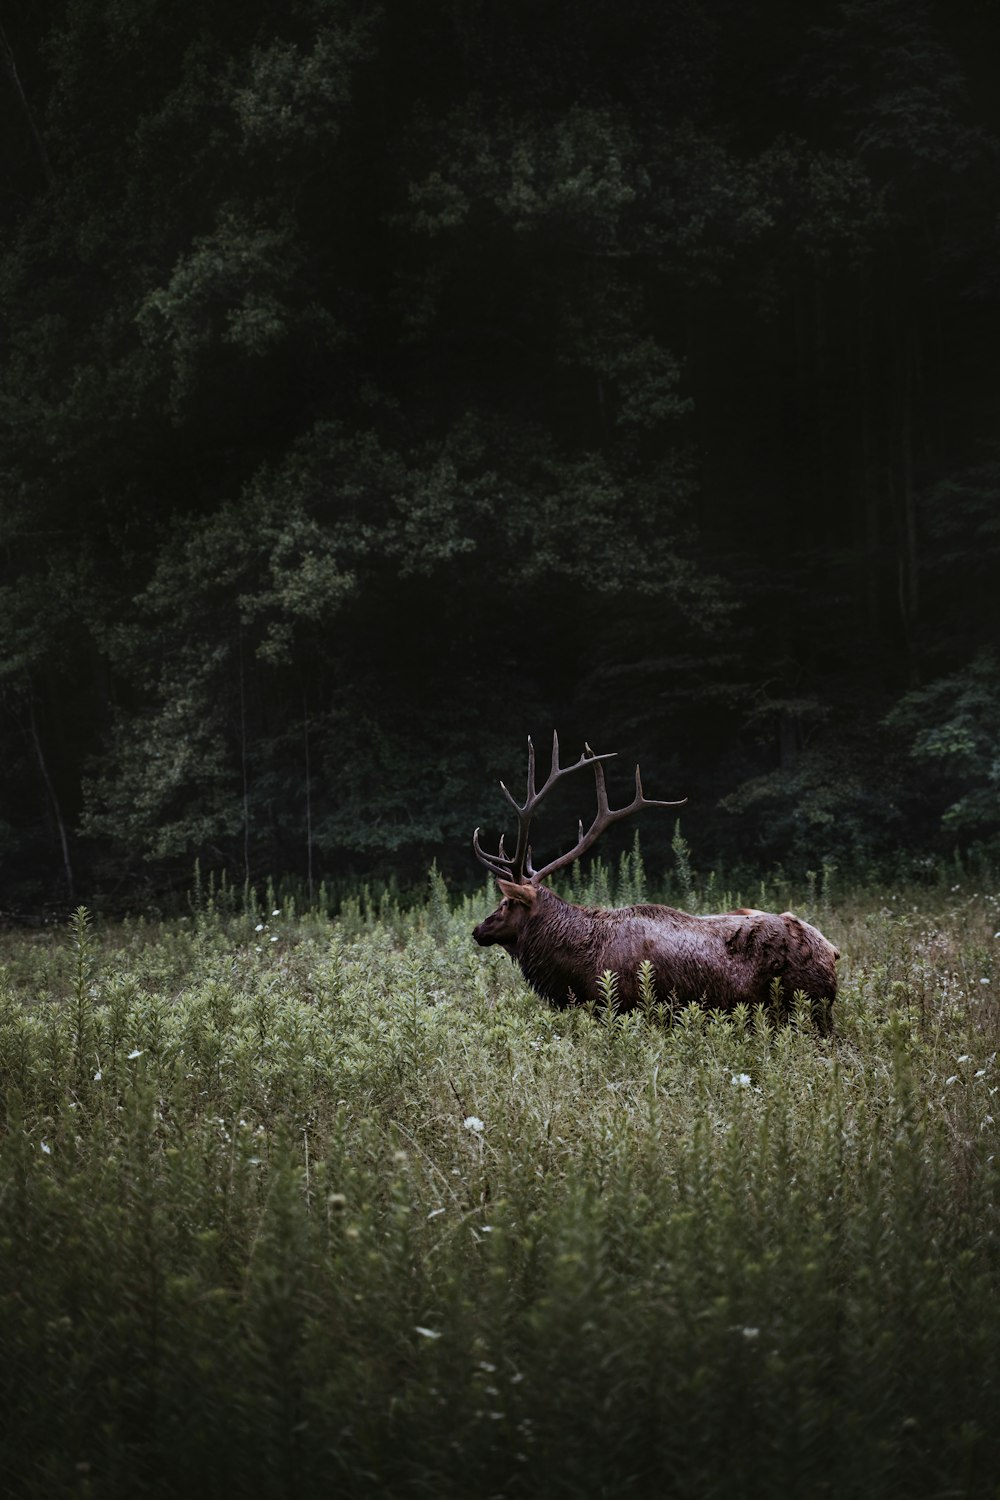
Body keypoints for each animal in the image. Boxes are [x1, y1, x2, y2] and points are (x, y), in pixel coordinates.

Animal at [473, 735, 839, 1032]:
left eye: (506, 903)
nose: (477, 929)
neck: (578, 965)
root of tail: (832, 951)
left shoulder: (622, 1006)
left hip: (806, 1007)